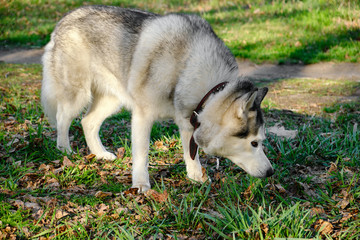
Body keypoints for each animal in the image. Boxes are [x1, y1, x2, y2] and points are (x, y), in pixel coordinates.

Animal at [41, 5, 272, 191]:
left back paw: (100, 154)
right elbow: (142, 155)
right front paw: (141, 184)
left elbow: (191, 154)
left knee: (87, 122)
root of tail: (64, 19)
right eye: (254, 143)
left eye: (261, 141)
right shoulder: (143, 117)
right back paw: (65, 150)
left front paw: (196, 177)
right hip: (77, 94)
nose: (271, 172)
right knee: (63, 117)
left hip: (113, 100)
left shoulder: (189, 119)